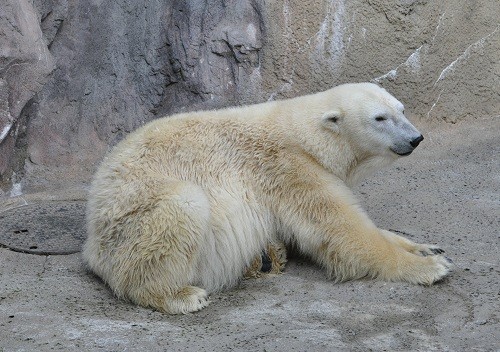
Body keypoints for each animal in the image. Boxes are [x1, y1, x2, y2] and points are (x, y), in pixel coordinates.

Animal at [83, 82, 454, 314]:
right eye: (380, 117)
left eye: (401, 109)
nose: (416, 138)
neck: (307, 134)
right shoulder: (289, 169)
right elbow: (341, 230)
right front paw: (430, 268)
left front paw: (427, 248)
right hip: (130, 215)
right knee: (183, 207)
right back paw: (181, 295)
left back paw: (266, 257)